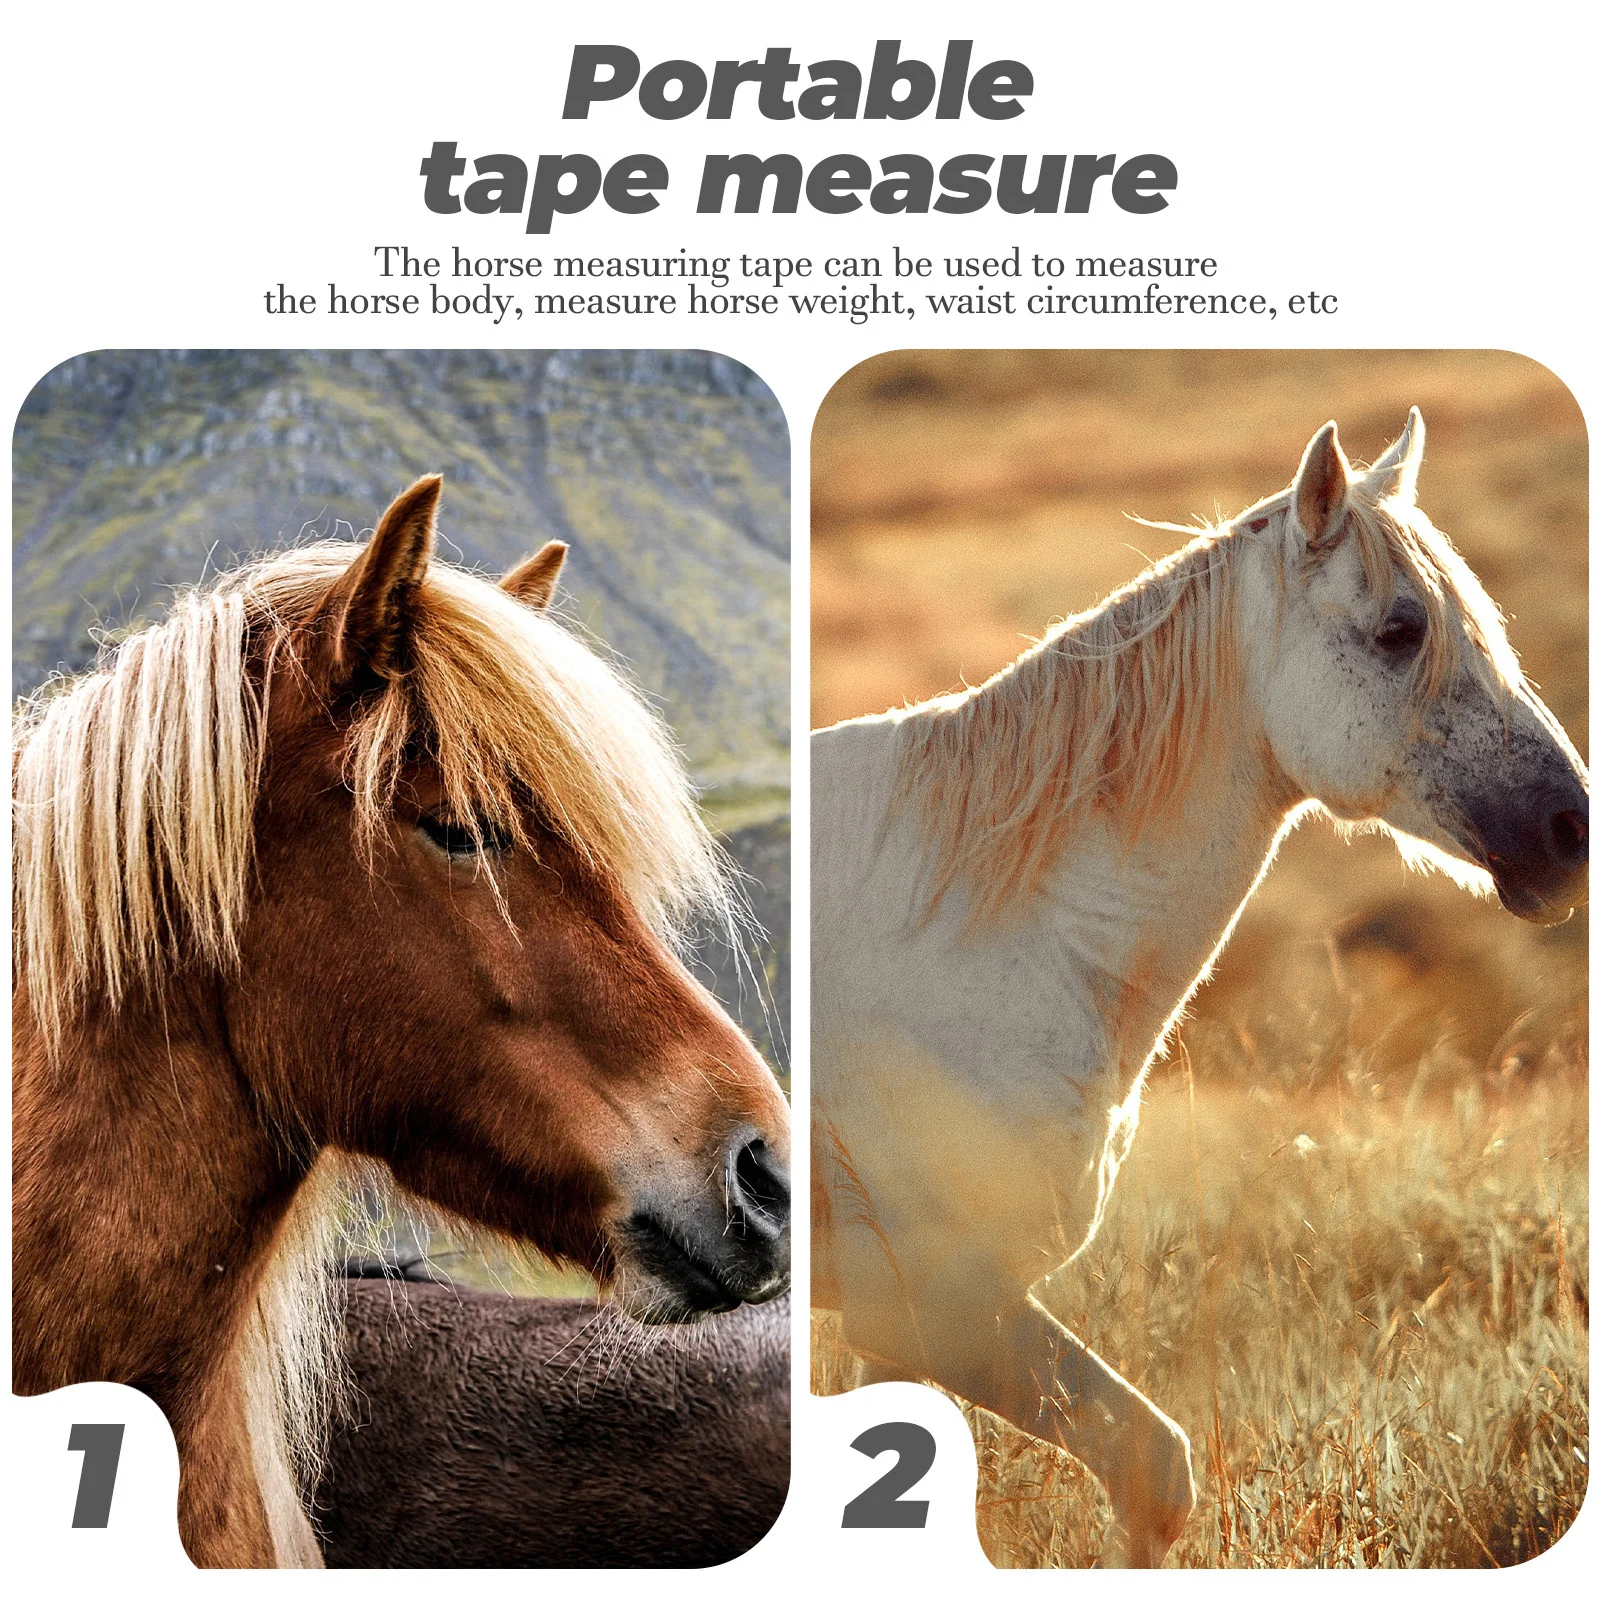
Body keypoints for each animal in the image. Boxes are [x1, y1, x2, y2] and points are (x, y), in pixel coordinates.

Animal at [810, 412, 1587, 1566]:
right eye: (1403, 630)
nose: (1570, 831)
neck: (986, 934)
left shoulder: (911, 1328)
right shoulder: (937, 1300)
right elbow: (1155, 1467)